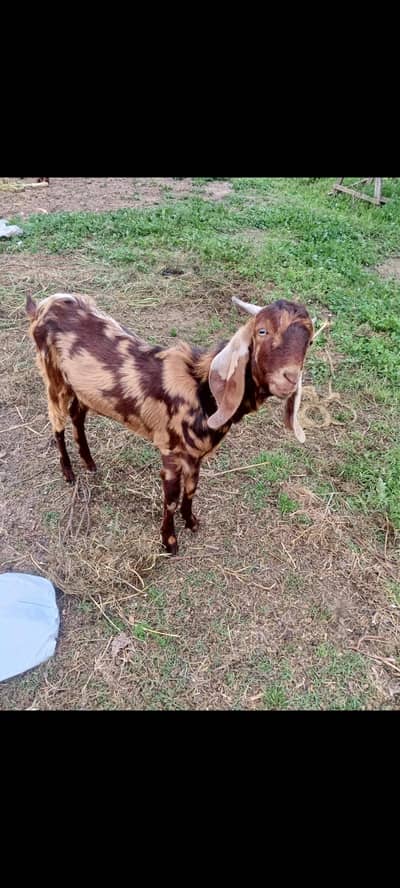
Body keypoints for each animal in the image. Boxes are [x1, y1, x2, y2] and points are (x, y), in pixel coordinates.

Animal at [26, 292, 314, 554]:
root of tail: (43, 305)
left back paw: (89, 462)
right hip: (53, 377)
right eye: (262, 331)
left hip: (84, 390)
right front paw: (170, 542)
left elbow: (192, 489)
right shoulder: (171, 452)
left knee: (77, 415)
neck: (202, 390)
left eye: (309, 341)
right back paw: (68, 472)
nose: (289, 378)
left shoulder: (195, 455)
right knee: (57, 422)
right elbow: (171, 500)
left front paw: (192, 522)